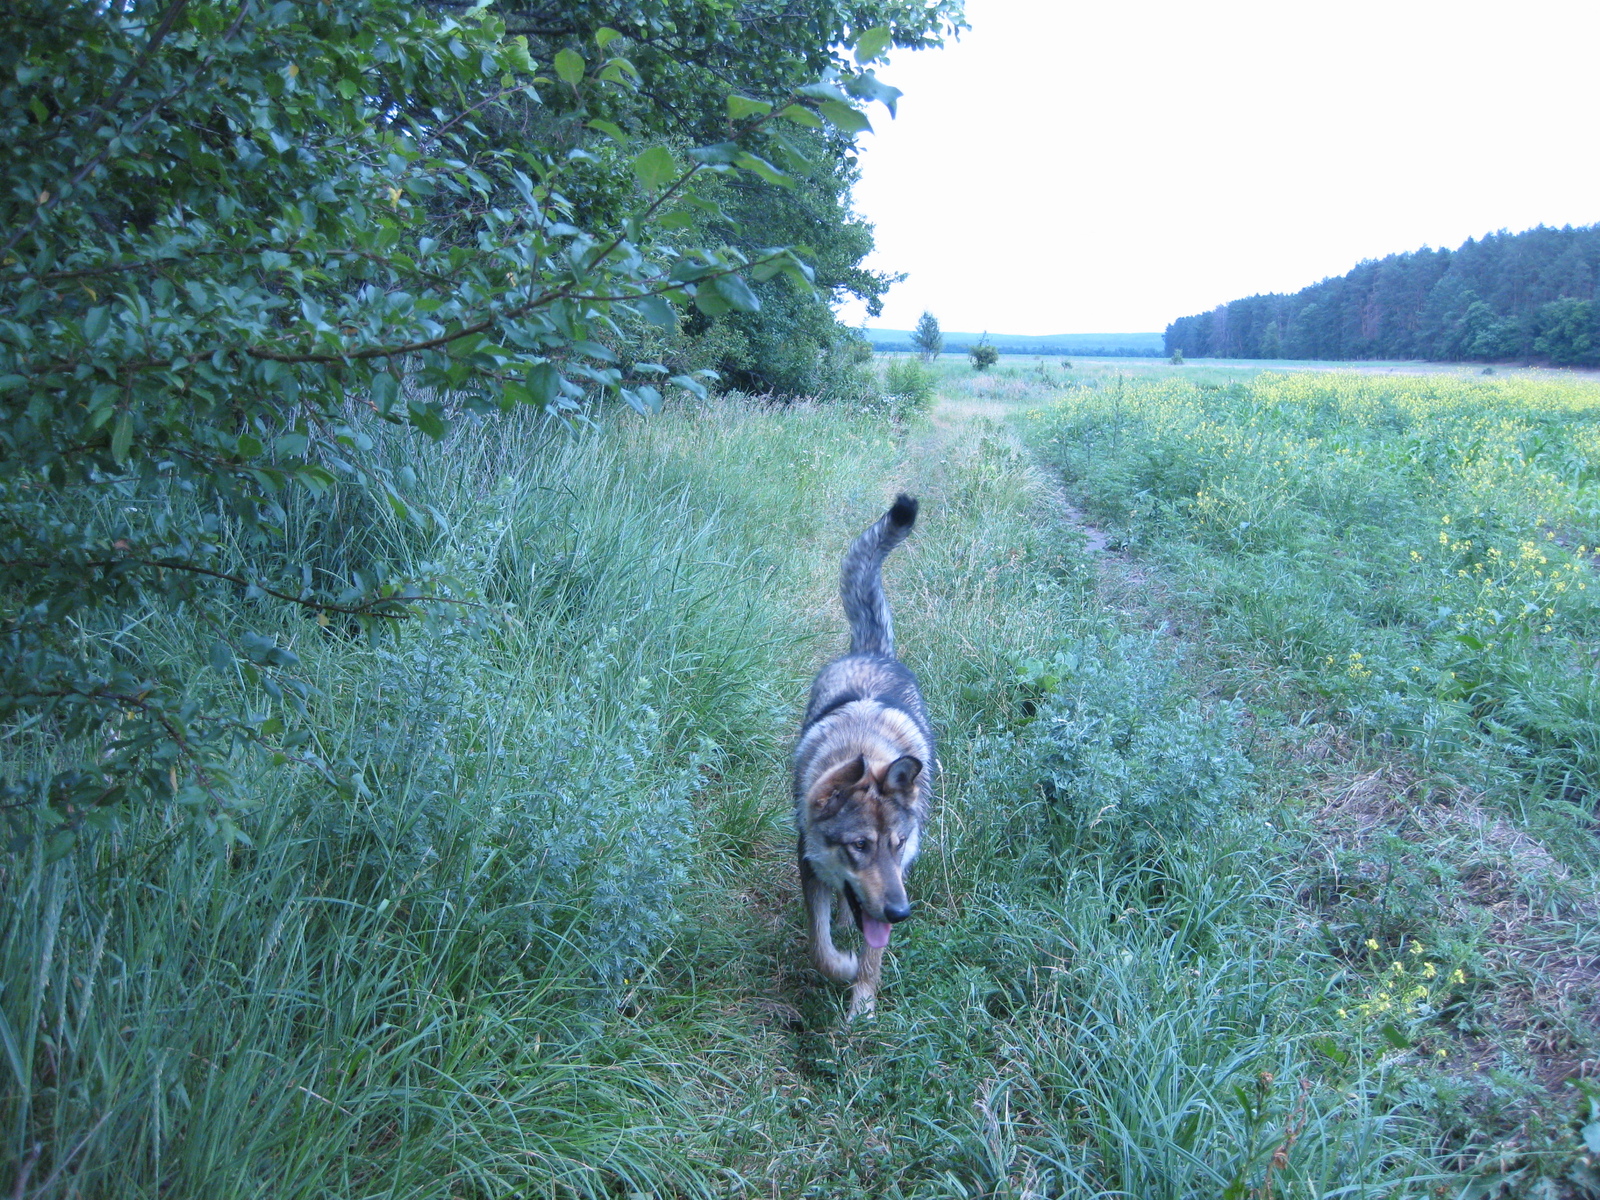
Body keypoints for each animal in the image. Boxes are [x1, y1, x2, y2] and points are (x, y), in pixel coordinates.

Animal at [790, 492, 934, 1017]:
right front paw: (845, 966)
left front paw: (863, 1006)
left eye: (897, 844)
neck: (865, 751)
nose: (901, 912)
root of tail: (873, 650)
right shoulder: (809, 865)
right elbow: (821, 947)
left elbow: (872, 953)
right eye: (859, 846)